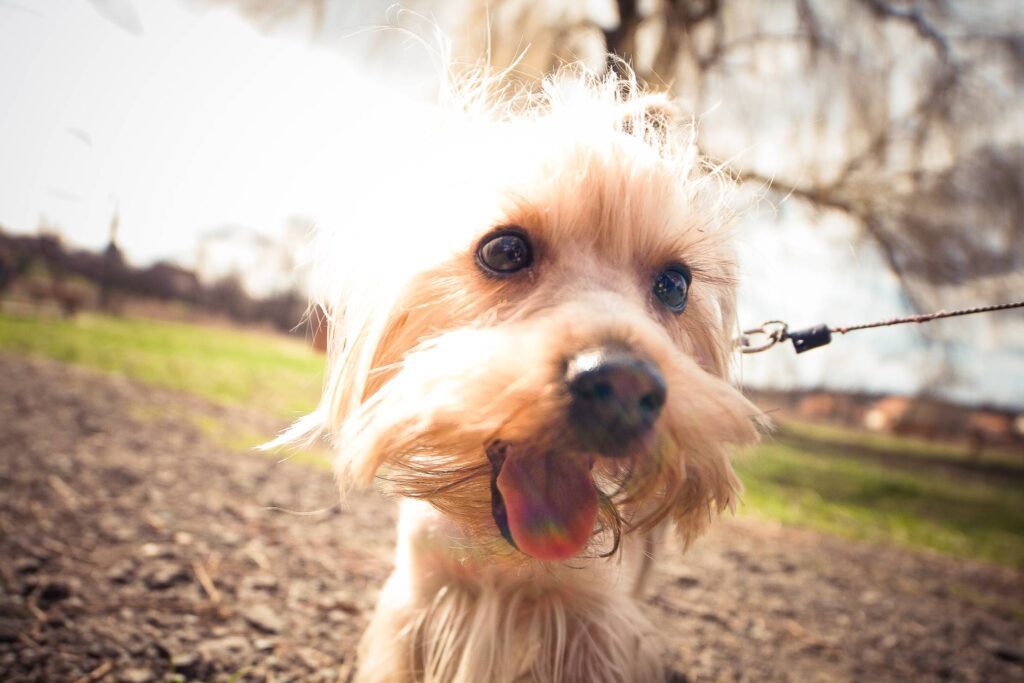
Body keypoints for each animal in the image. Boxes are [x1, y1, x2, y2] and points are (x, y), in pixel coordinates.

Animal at [272, 61, 761, 679]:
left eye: (675, 285)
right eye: (504, 250)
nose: (624, 387)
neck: (502, 549)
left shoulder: (596, 629)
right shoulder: (417, 603)